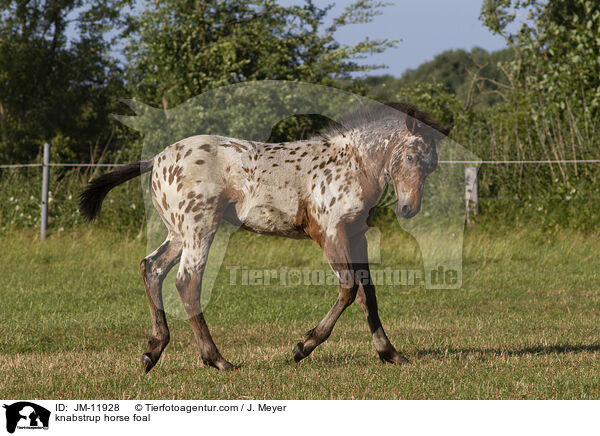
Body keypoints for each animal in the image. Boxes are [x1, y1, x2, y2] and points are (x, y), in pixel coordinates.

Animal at [82, 102, 452, 372]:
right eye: (410, 156)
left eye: (431, 165)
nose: (408, 209)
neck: (352, 164)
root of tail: (156, 159)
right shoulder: (329, 233)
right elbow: (348, 289)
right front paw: (302, 347)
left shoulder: (356, 235)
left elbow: (367, 293)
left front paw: (390, 353)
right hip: (200, 228)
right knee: (187, 282)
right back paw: (218, 360)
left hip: (178, 233)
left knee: (152, 268)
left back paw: (153, 351)